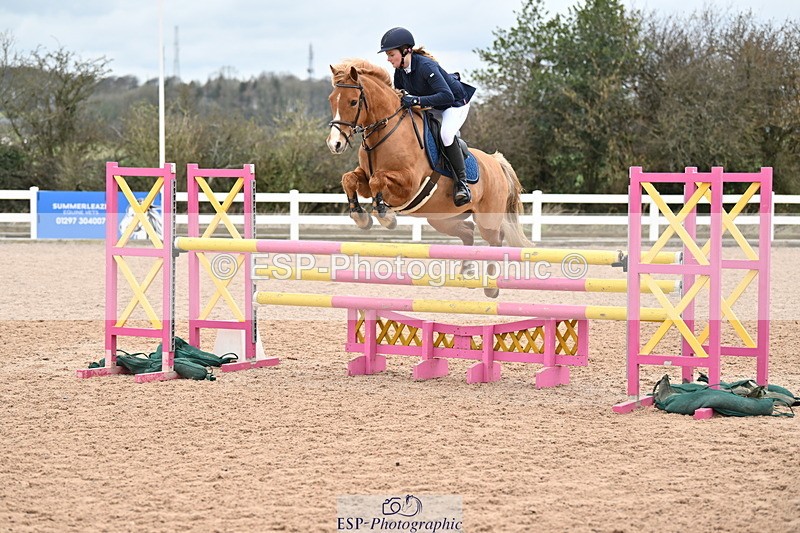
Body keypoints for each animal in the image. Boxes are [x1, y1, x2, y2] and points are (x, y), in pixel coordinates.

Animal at [326, 59, 533, 297]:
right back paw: (467, 272)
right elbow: (350, 179)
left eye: (352, 102)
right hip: (442, 218)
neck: (385, 131)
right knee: (468, 232)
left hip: (487, 219)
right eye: (331, 100)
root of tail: (495, 162)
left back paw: (491, 287)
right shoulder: (365, 178)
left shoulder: (408, 184)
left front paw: (386, 217)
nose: (335, 144)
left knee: (495, 239)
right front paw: (360, 216)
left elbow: (377, 180)